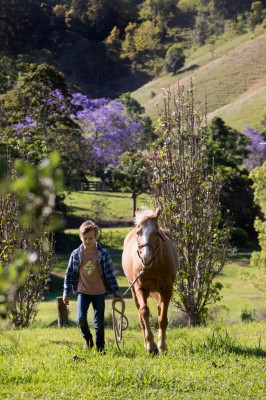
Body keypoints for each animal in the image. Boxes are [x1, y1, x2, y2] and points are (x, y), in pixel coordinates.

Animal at [122, 206, 177, 354]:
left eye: (156, 233)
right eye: (138, 232)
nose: (146, 258)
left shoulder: (167, 289)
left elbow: (162, 318)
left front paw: (162, 345)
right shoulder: (140, 288)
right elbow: (144, 312)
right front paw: (151, 346)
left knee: (159, 310)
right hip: (134, 290)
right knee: (141, 315)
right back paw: (146, 343)